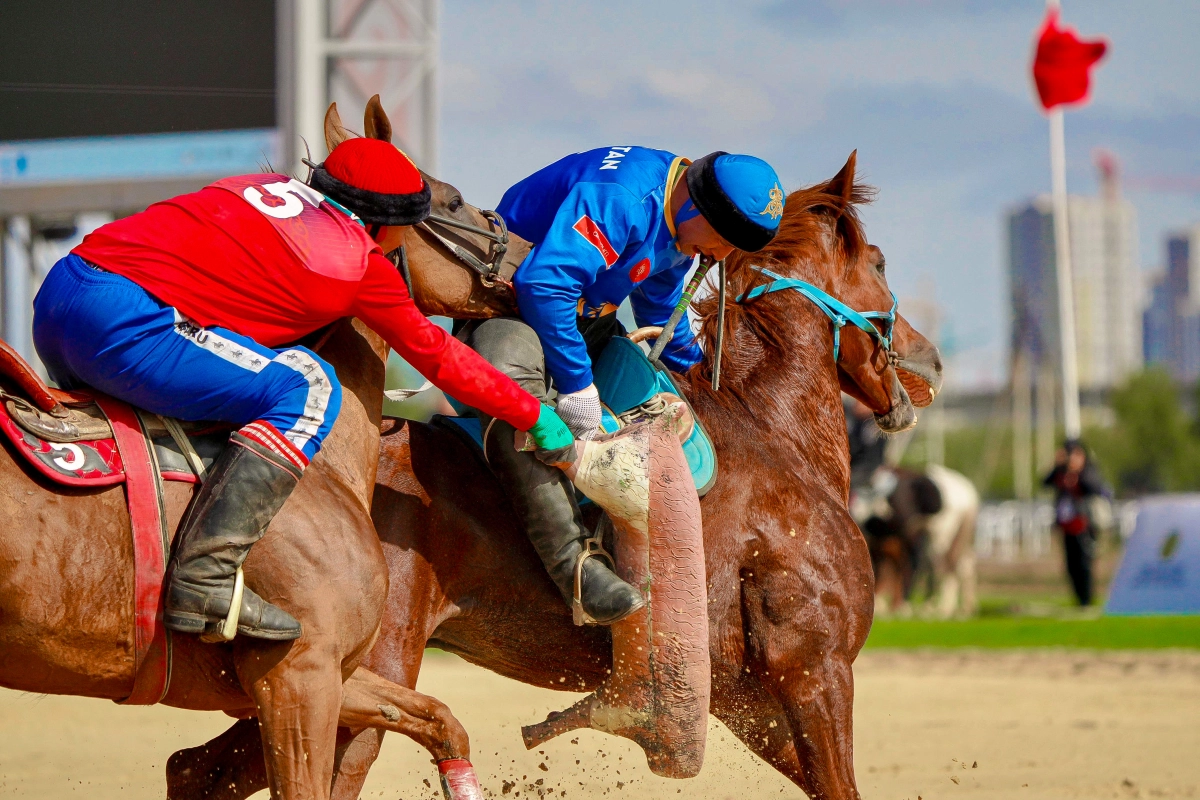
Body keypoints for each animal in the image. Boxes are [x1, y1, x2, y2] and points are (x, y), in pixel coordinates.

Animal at [0, 97, 535, 796]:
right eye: (452, 200)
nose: (532, 255)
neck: (327, 472)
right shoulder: (298, 674)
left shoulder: (335, 672)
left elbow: (440, 719)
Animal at [169, 151, 940, 800]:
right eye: (879, 261)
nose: (929, 360)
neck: (771, 432)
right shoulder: (814, 676)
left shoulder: (754, 704)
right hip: (348, 679)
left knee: (194, 769)